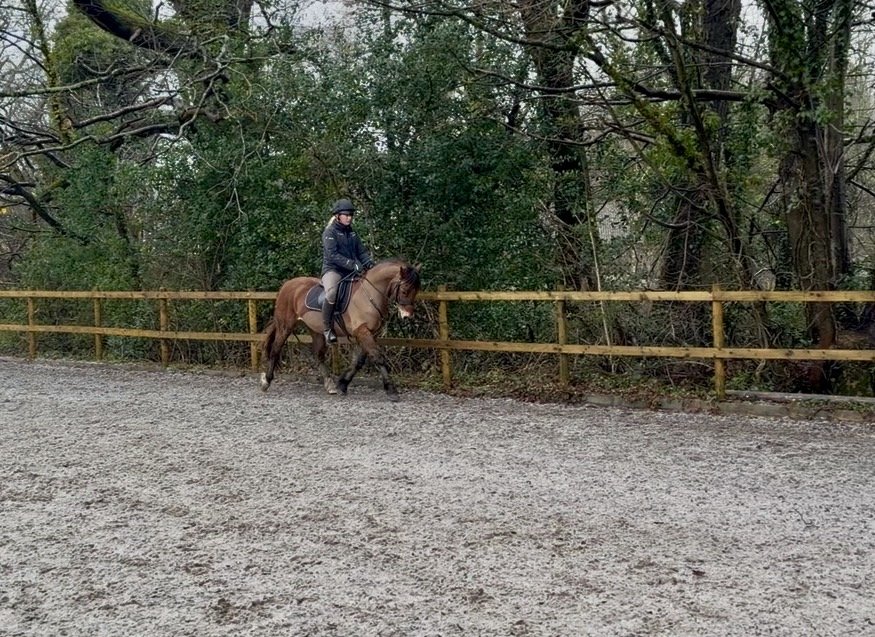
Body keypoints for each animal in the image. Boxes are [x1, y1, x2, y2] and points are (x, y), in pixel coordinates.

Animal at [259, 259, 421, 401]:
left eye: (416, 291)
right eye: (405, 291)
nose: (407, 315)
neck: (369, 294)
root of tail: (287, 284)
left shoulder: (368, 334)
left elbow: (358, 361)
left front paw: (343, 384)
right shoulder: (362, 332)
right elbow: (378, 358)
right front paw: (391, 391)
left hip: (316, 330)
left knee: (318, 355)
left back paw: (330, 385)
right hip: (285, 326)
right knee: (275, 349)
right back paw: (266, 381)